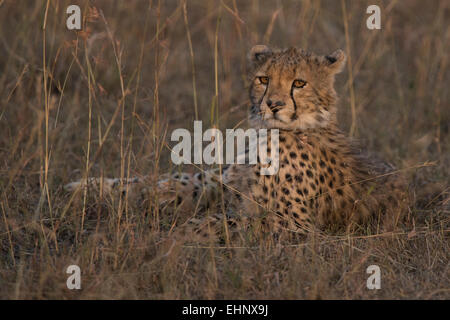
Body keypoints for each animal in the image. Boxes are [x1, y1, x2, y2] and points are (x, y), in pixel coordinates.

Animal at [65, 45, 414, 240]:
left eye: (299, 83)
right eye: (263, 79)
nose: (273, 104)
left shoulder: (296, 226)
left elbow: (227, 222)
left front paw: (164, 237)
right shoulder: (222, 182)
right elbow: (169, 181)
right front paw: (90, 187)